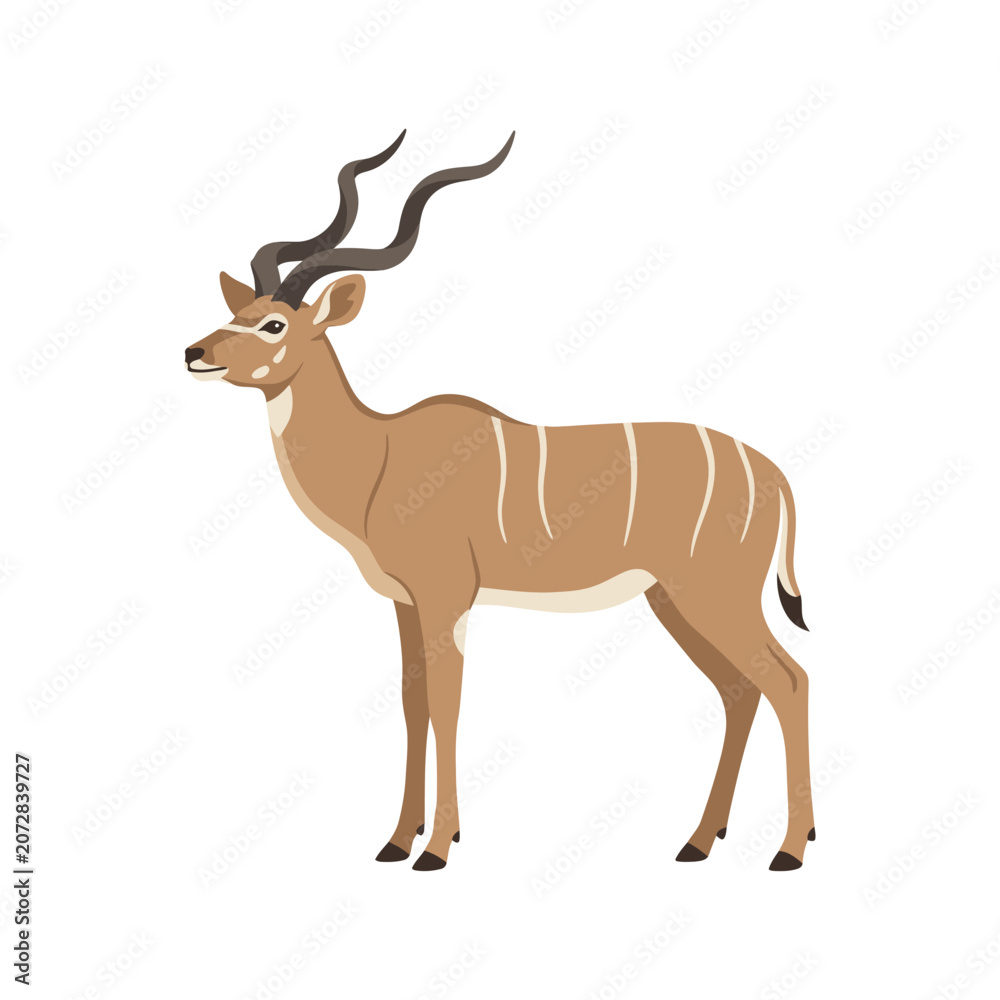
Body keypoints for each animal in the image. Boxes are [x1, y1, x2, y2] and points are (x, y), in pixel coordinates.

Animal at [186, 132, 815, 872]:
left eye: (274, 325)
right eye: (237, 313)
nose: (194, 351)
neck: (380, 455)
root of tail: (775, 475)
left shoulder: (446, 595)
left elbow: (448, 703)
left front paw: (437, 849)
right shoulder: (406, 603)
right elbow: (413, 703)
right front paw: (396, 841)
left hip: (715, 593)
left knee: (789, 680)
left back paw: (789, 850)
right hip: (673, 598)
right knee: (739, 691)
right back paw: (697, 842)